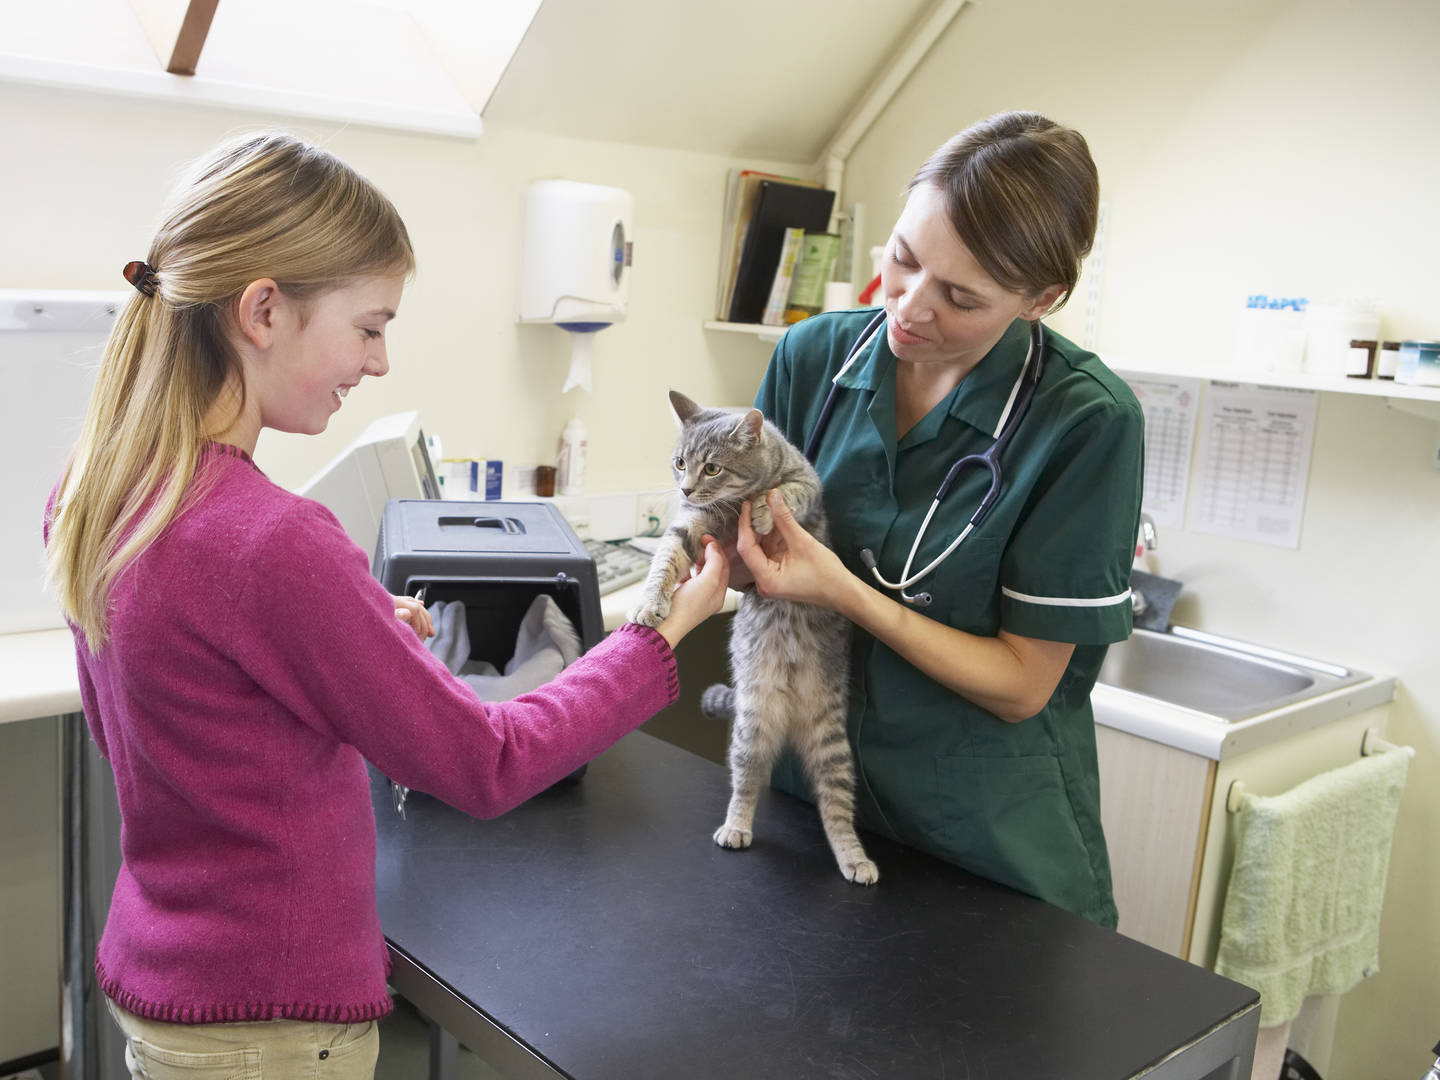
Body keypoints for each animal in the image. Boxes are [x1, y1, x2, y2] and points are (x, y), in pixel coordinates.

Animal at [630, 388, 875, 887]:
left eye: (712, 468)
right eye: (680, 463)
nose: (685, 489)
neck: (731, 504)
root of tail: (792, 714)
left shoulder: (807, 480)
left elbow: (788, 490)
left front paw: (764, 509)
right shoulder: (691, 526)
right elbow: (665, 560)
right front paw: (650, 602)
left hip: (834, 750)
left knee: (836, 811)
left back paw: (853, 857)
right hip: (751, 730)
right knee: (747, 784)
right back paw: (736, 826)